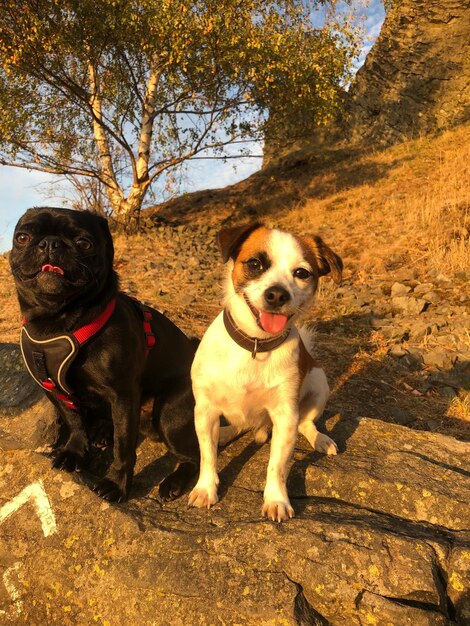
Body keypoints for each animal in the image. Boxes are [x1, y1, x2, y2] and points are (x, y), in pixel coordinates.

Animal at [189, 222, 344, 520]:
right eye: (255, 264)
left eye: (302, 273)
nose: (277, 294)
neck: (255, 345)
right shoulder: (204, 410)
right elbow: (207, 456)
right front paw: (206, 488)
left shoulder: (285, 417)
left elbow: (277, 466)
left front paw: (276, 500)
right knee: (238, 426)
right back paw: (224, 434)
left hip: (319, 385)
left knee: (307, 423)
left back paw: (320, 439)